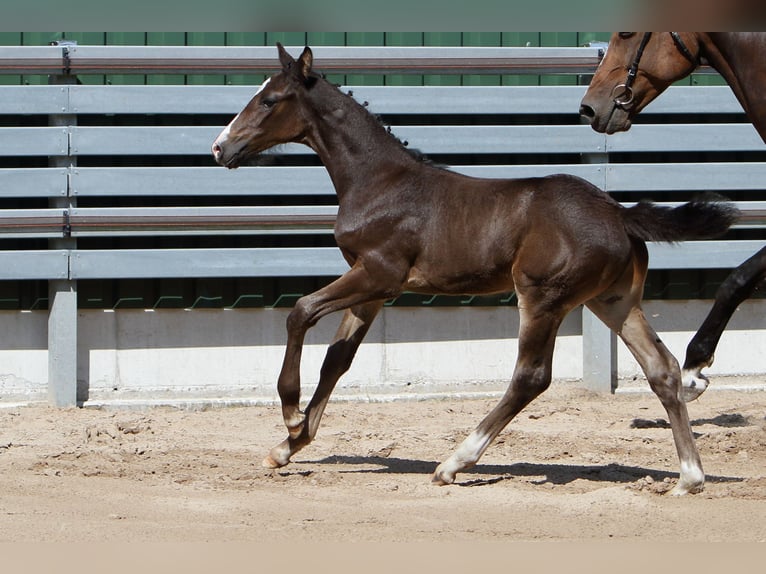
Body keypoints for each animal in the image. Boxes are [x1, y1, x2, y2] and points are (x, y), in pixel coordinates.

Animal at [212, 44, 739, 494]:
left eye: (269, 100)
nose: (219, 148)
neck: (379, 181)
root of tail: (619, 213)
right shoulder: (374, 290)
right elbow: (337, 360)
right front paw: (289, 445)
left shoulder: (379, 274)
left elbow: (300, 311)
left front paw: (290, 415)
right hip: (613, 301)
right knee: (662, 369)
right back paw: (689, 477)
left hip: (542, 297)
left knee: (531, 376)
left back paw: (454, 462)